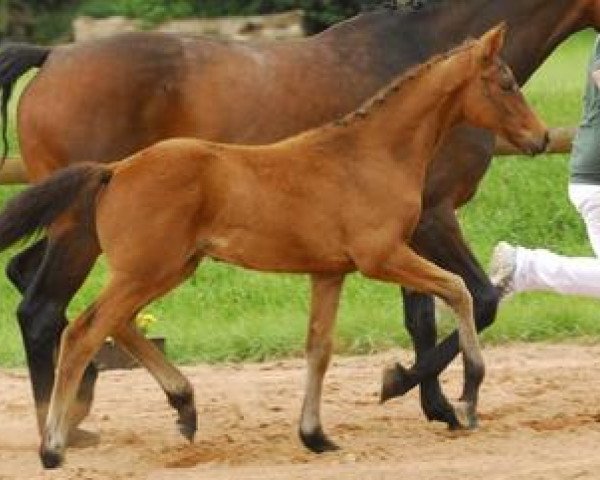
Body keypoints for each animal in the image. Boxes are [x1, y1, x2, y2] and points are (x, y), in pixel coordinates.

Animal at [0, 0, 596, 434]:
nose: (540, 138)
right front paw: (415, 389)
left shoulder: (403, 232)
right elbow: (476, 299)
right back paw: (62, 425)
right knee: (43, 307)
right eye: (506, 84)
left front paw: (432, 402)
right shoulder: (432, 218)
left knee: (37, 284)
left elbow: (423, 315)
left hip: (99, 231)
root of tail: (51, 56)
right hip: (89, 233)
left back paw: (90, 404)